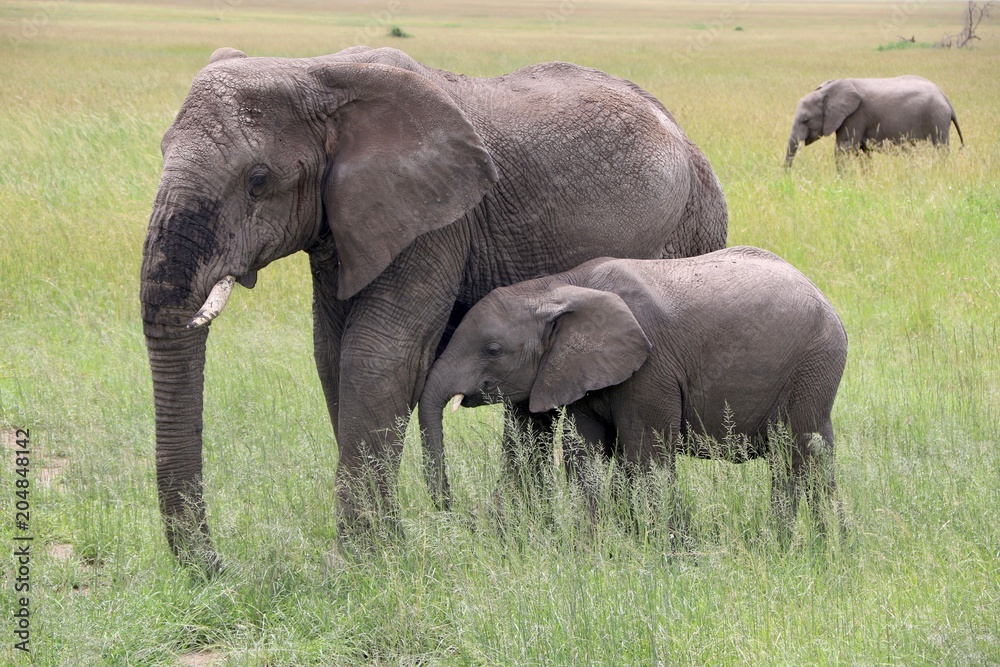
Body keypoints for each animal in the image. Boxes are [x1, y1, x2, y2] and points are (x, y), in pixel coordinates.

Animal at [139, 45, 728, 568]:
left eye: (258, 181)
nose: (216, 567)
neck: (315, 71)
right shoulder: (342, 225)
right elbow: (331, 356)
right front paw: (384, 545)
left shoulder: (436, 222)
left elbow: (376, 356)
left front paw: (361, 561)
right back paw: (517, 533)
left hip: (689, 227)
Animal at [418, 248, 848, 528]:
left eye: (492, 350)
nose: (451, 508)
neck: (559, 286)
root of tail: (827, 301)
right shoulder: (578, 371)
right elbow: (582, 453)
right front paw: (593, 547)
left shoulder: (651, 369)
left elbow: (648, 456)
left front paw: (666, 551)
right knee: (808, 456)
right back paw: (806, 544)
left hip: (813, 364)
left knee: (800, 455)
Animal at [784, 75, 964, 167]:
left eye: (806, 120)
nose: (786, 178)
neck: (828, 90)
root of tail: (946, 99)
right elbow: (863, 152)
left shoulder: (855, 116)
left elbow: (843, 149)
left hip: (937, 119)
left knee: (940, 150)